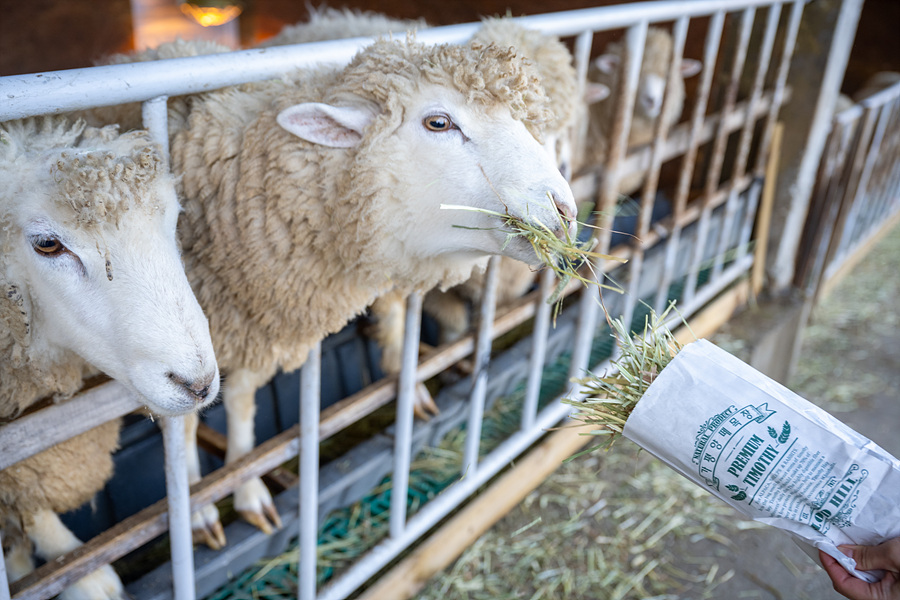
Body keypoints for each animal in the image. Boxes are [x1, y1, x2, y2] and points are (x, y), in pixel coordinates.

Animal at [162, 37, 576, 544]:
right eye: (439, 122)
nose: (565, 210)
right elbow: (182, 424)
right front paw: (198, 510)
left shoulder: (256, 320)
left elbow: (240, 399)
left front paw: (246, 486)